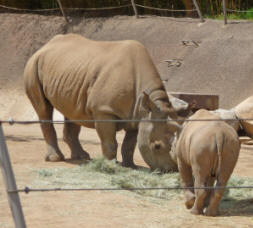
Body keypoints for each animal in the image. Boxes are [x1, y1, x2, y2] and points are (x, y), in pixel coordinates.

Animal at [23, 33, 178, 167]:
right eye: (157, 146)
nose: (170, 170)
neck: (150, 102)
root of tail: (45, 46)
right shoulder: (103, 109)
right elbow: (110, 142)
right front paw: (110, 166)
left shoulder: (137, 115)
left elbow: (129, 144)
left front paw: (130, 166)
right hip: (33, 65)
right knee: (43, 109)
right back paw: (55, 159)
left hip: (69, 70)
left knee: (71, 109)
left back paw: (82, 157)